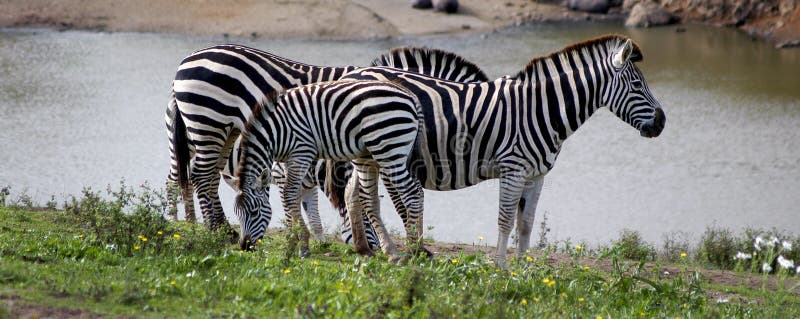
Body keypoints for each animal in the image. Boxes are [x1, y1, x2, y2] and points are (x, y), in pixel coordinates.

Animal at [166, 43, 488, 242]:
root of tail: (188, 58)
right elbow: (395, 201)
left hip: (218, 132)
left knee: (192, 178)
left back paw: (206, 227)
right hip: (209, 123)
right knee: (200, 176)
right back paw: (215, 230)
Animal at [233, 80, 428, 260]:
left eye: (254, 212)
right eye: (236, 213)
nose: (244, 247)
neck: (277, 132)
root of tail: (410, 95)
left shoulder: (301, 151)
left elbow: (289, 195)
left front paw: (298, 245)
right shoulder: (290, 160)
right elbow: (294, 197)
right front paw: (296, 244)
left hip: (388, 149)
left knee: (411, 192)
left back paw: (412, 251)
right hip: (373, 153)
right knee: (406, 192)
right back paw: (403, 251)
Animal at [334, 34, 664, 268]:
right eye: (637, 85)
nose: (662, 123)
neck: (539, 109)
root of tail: (355, 72)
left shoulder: (536, 175)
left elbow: (526, 223)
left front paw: (525, 268)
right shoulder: (513, 168)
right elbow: (505, 219)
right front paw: (501, 267)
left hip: (368, 153)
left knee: (354, 192)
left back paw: (365, 249)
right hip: (382, 150)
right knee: (366, 196)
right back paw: (386, 251)